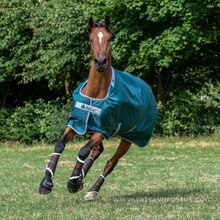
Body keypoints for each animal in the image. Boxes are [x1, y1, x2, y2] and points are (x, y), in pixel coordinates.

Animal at [39, 15, 156, 201]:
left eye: (109, 38)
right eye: (90, 39)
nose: (100, 62)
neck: (95, 94)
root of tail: (147, 88)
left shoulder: (103, 130)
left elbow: (83, 150)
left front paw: (73, 182)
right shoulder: (77, 123)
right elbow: (59, 145)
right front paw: (46, 183)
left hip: (129, 137)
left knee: (110, 162)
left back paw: (91, 190)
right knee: (98, 150)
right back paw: (81, 180)